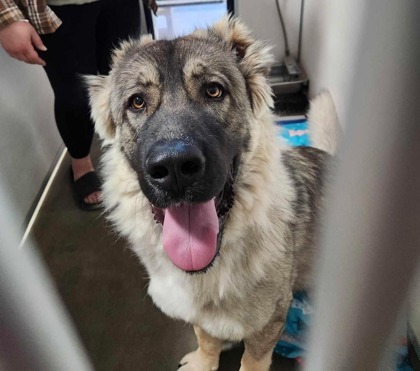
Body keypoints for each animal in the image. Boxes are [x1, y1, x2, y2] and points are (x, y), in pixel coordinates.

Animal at [86, 16, 334, 370]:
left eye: (213, 91)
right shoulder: (200, 314)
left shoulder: (270, 318)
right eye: (137, 102)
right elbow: (205, 335)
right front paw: (205, 360)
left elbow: (253, 359)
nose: (174, 167)